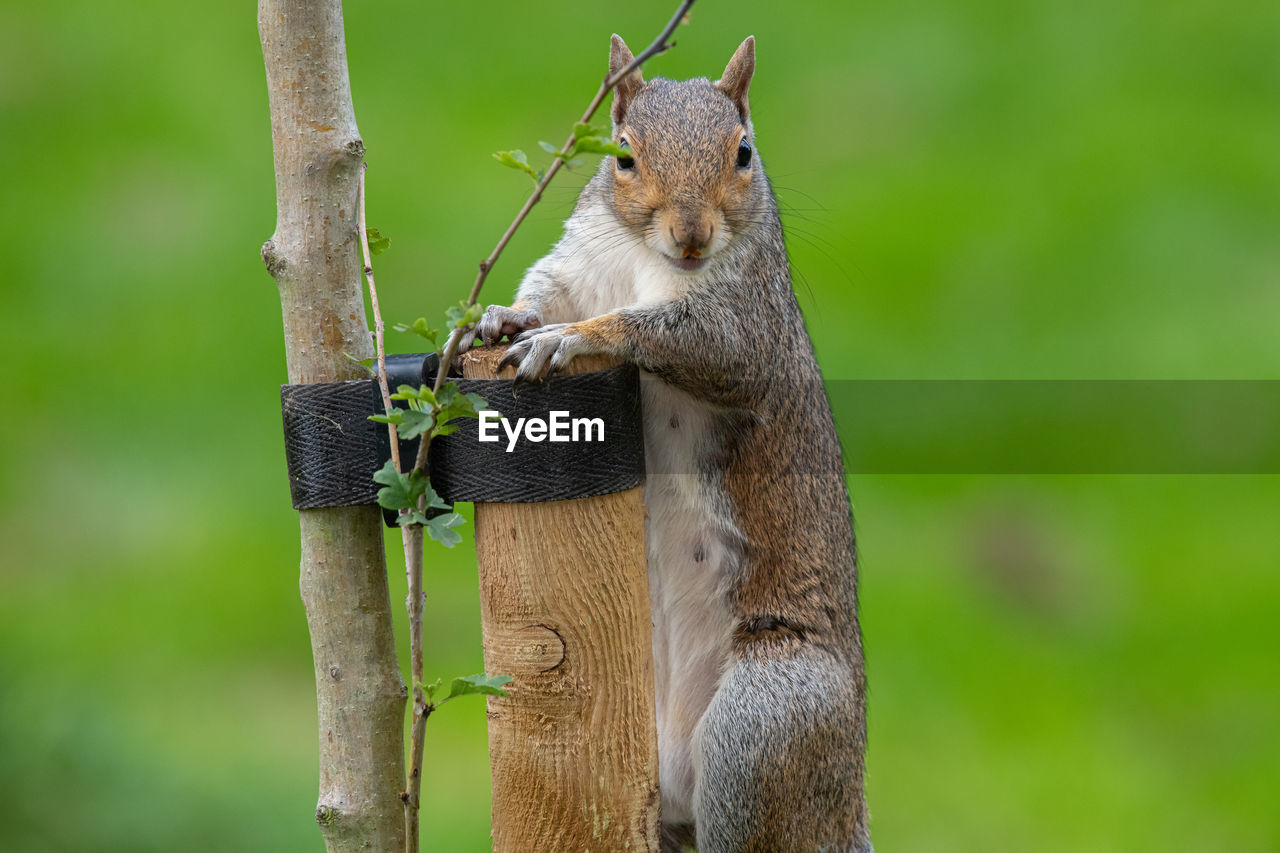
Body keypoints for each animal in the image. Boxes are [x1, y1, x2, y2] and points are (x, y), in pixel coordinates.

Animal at [481, 34, 870, 850]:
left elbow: (678, 336)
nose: (691, 236)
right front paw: (504, 317)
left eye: (744, 152)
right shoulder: (579, 264)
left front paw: (572, 339)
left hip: (764, 726)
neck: (645, 262)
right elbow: (546, 292)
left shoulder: (748, 320)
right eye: (623, 156)